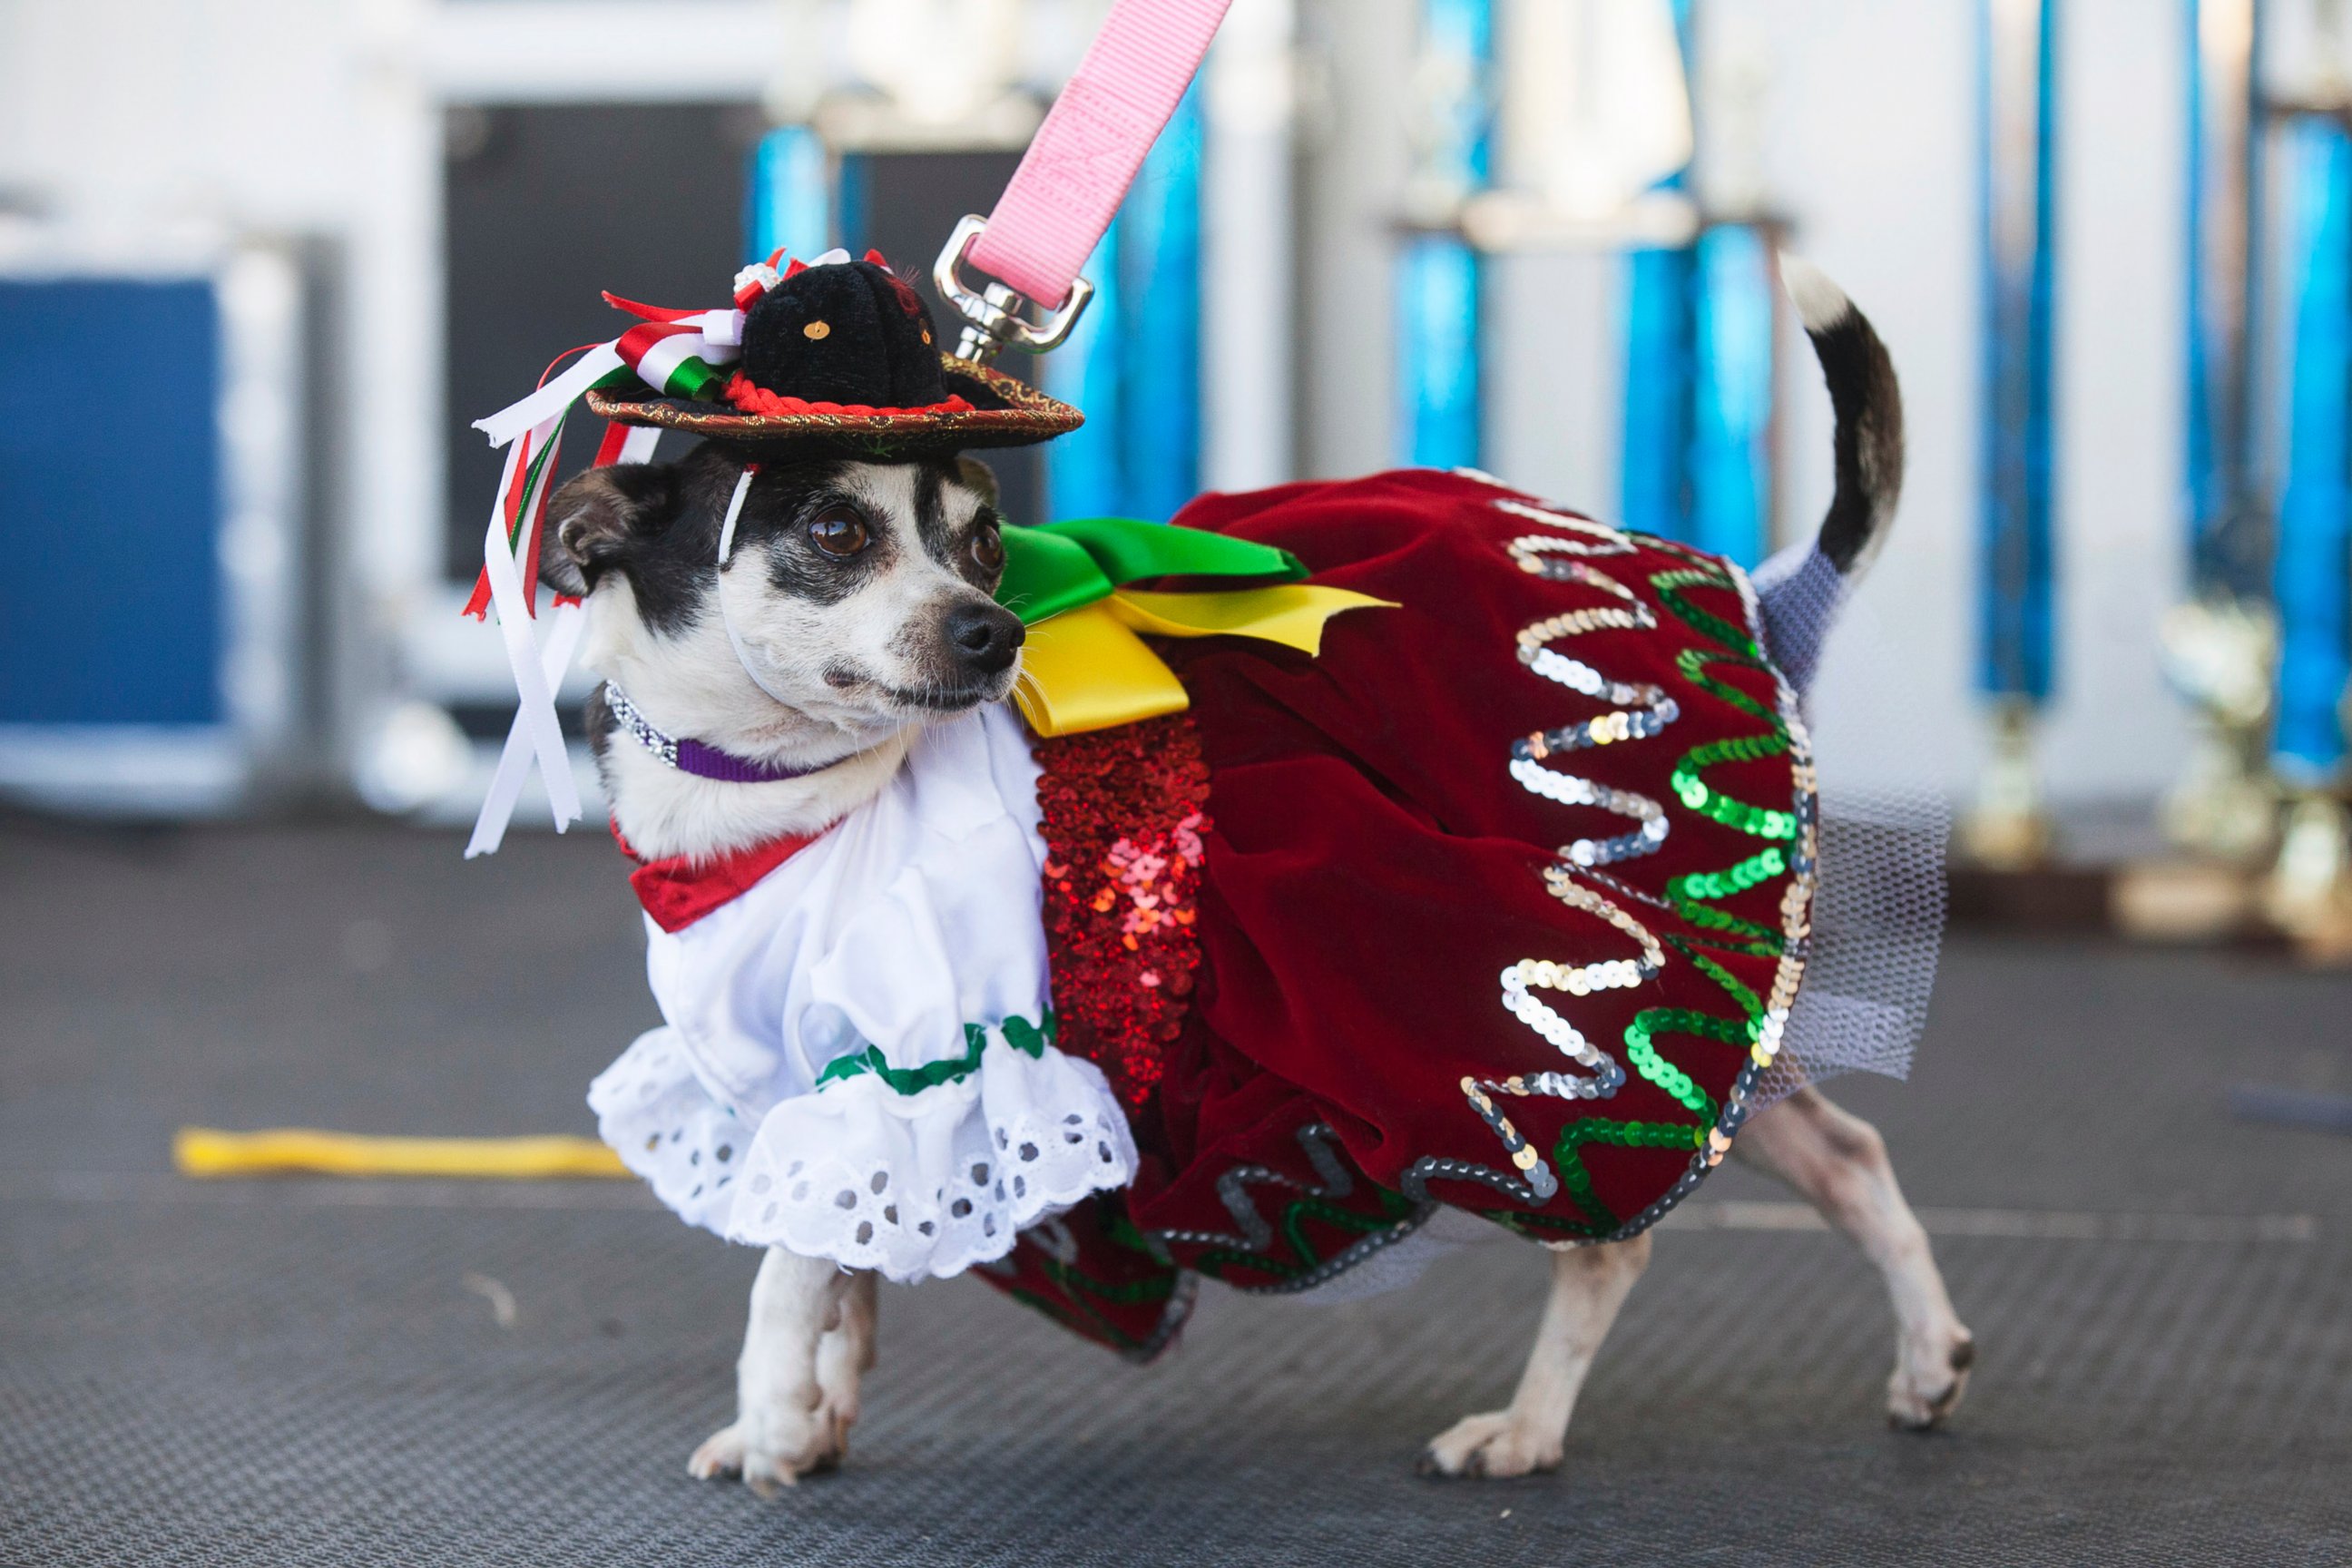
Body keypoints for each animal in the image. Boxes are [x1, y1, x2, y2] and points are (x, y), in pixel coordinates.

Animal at [541, 257, 1975, 1485]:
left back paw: (1525, 1429)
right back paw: (1928, 1358)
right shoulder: (825, 1079)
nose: (994, 629)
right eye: (837, 532)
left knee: (1609, 1242)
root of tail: (1771, 605)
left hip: (1551, 1062)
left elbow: (790, 1269)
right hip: (1733, 1035)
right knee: (1840, 1150)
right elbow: (852, 1262)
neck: (781, 798)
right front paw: (813, 1411)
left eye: (988, 542)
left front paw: (778, 1413)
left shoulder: (910, 1059)